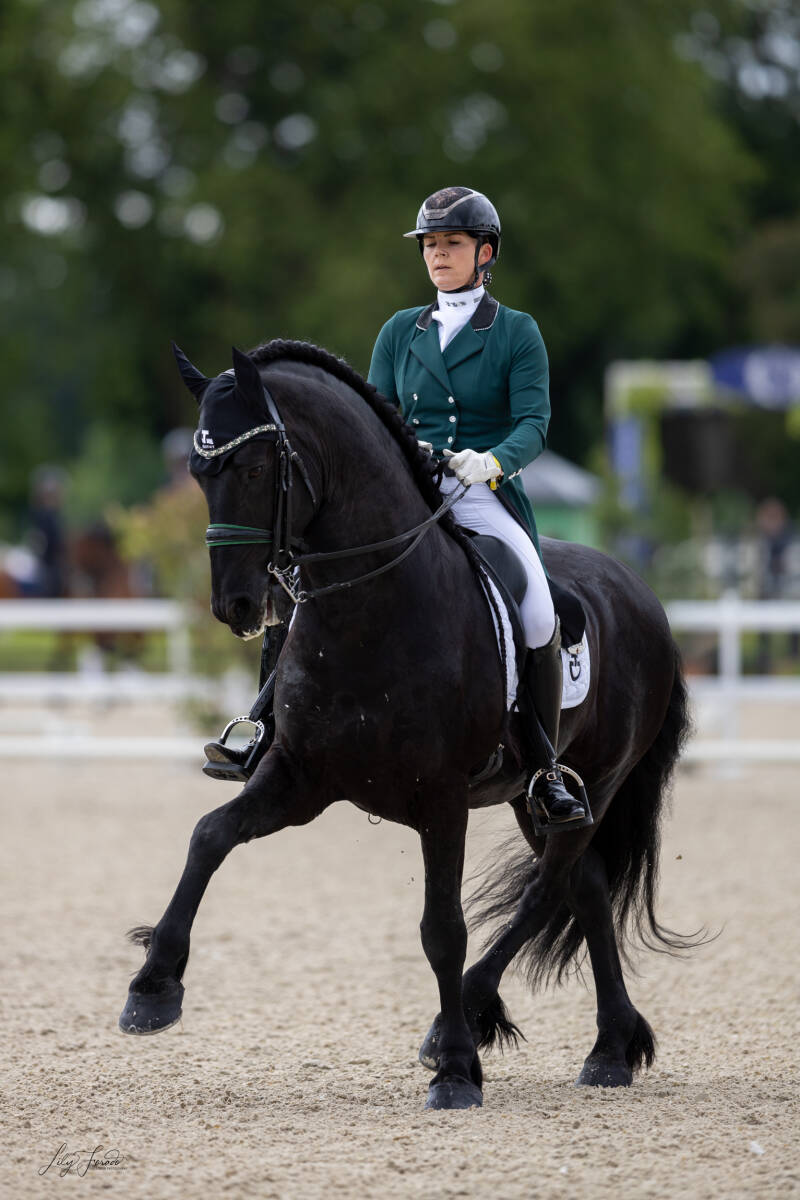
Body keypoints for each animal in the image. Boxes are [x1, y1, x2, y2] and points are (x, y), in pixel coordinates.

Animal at [119, 339, 694, 1111]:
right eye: (197, 471)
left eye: (256, 467)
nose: (236, 606)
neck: (370, 607)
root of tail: (642, 593)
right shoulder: (299, 778)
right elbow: (209, 836)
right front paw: (153, 988)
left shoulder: (441, 800)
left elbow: (442, 928)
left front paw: (455, 1069)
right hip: (531, 798)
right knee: (589, 888)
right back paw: (609, 1050)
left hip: (593, 783)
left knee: (551, 886)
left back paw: (477, 1015)